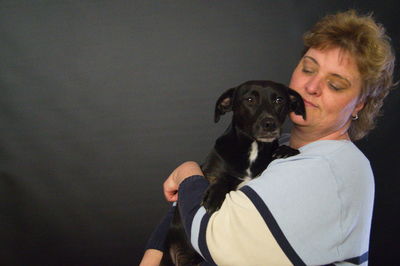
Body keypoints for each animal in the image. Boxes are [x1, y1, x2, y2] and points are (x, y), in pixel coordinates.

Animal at [161, 80, 304, 264]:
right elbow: (221, 179)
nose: (269, 124)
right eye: (250, 99)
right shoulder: (209, 172)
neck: (253, 149)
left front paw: (286, 150)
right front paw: (214, 196)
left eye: (279, 100)